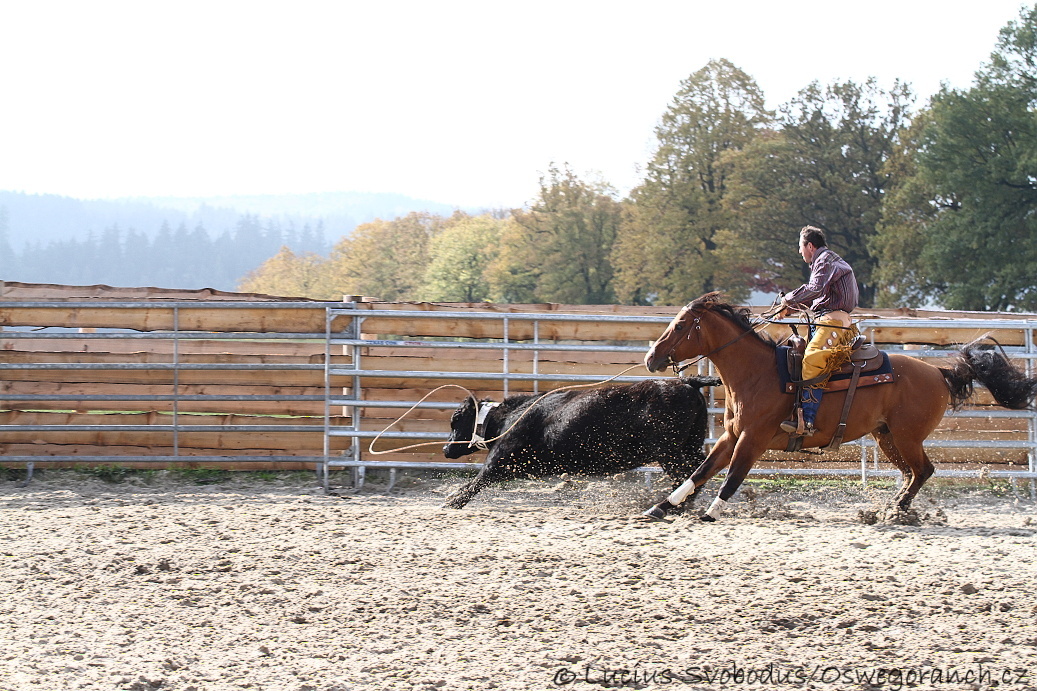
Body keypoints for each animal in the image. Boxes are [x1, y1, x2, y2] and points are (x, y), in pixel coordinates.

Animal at [638, 290, 1037, 522]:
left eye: (680, 326)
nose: (650, 358)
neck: (757, 373)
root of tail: (939, 372)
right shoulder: (731, 436)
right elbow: (700, 472)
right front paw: (662, 506)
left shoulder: (754, 438)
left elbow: (733, 476)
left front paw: (711, 512)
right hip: (887, 437)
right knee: (912, 474)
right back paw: (891, 509)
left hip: (907, 436)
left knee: (923, 471)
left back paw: (896, 511)